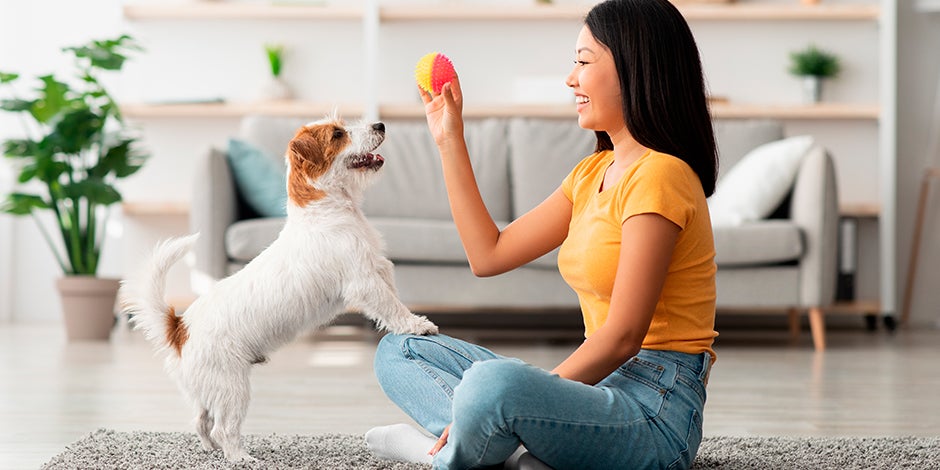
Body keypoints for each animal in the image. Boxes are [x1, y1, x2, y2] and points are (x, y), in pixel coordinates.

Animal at [119, 115, 438, 460]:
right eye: (338, 134)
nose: (380, 125)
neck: (325, 209)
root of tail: (179, 328)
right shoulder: (365, 281)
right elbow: (392, 306)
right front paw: (417, 325)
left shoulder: (380, 269)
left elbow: (394, 298)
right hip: (232, 387)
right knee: (223, 427)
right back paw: (241, 458)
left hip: (208, 389)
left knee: (201, 421)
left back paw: (211, 449)